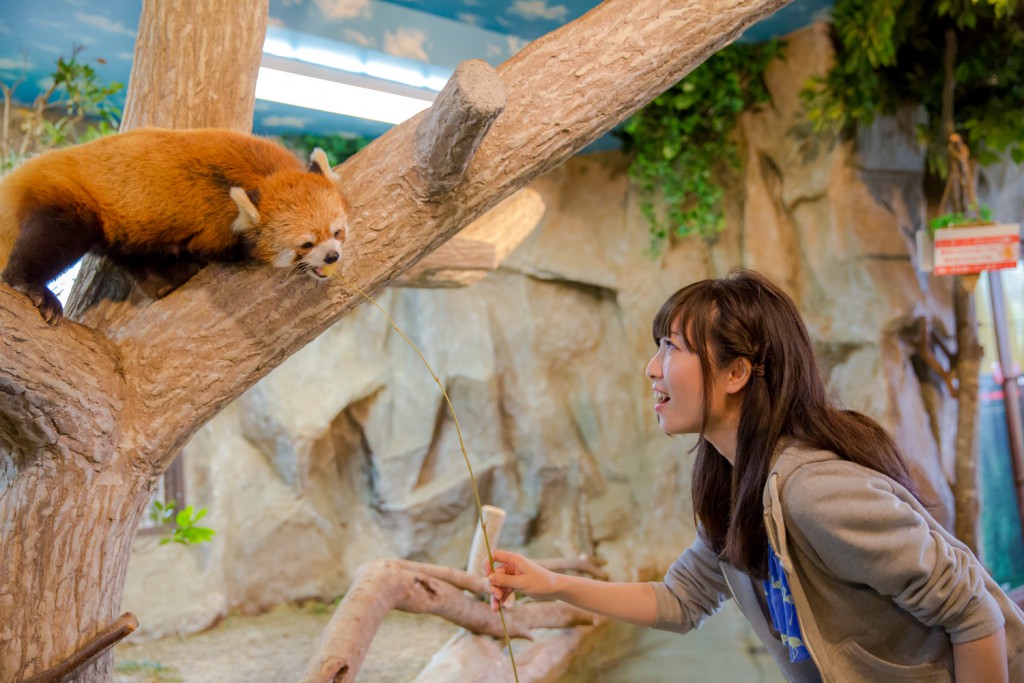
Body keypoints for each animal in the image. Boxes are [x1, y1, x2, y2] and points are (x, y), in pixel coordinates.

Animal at [0, 127, 350, 323]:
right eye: (305, 244)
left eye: (337, 232)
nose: (332, 256)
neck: (266, 175)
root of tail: (25, 170)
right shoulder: (215, 223)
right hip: (71, 199)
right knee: (54, 239)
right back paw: (29, 286)